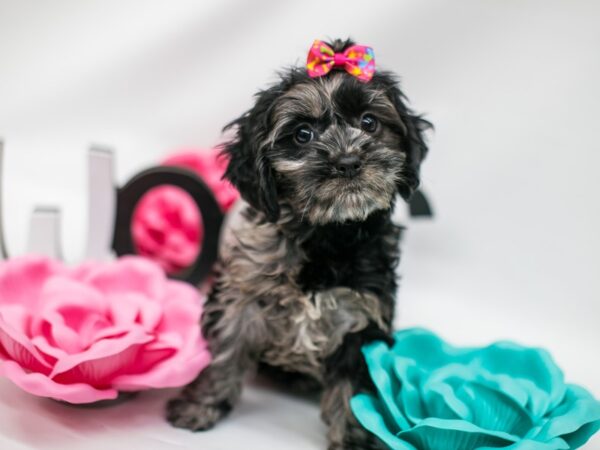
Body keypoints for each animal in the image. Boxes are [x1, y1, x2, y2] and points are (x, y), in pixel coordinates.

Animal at [166, 39, 432, 450]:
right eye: (303, 134)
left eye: (369, 122)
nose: (348, 161)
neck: (327, 233)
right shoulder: (241, 295)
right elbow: (225, 352)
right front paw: (200, 405)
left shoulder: (362, 317)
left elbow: (353, 388)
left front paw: (354, 438)